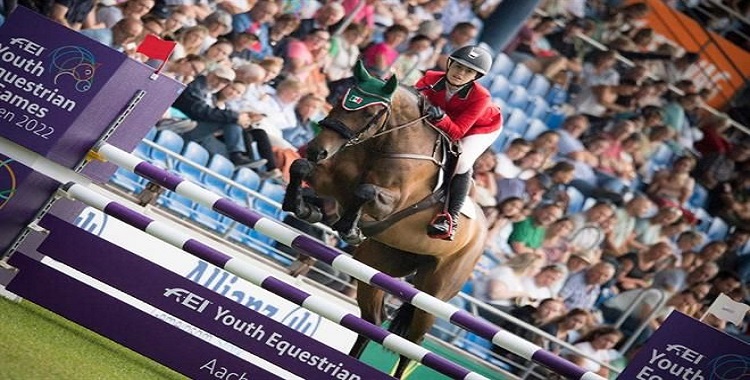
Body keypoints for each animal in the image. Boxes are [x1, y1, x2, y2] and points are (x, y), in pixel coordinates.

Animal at [282, 60, 488, 378]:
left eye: (369, 113)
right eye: (340, 100)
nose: (318, 149)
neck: (383, 145)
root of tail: (484, 231)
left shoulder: (390, 203)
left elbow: (364, 191)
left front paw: (348, 228)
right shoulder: (328, 179)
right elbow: (302, 168)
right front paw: (305, 207)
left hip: (434, 296)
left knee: (411, 347)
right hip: (378, 265)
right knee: (372, 324)